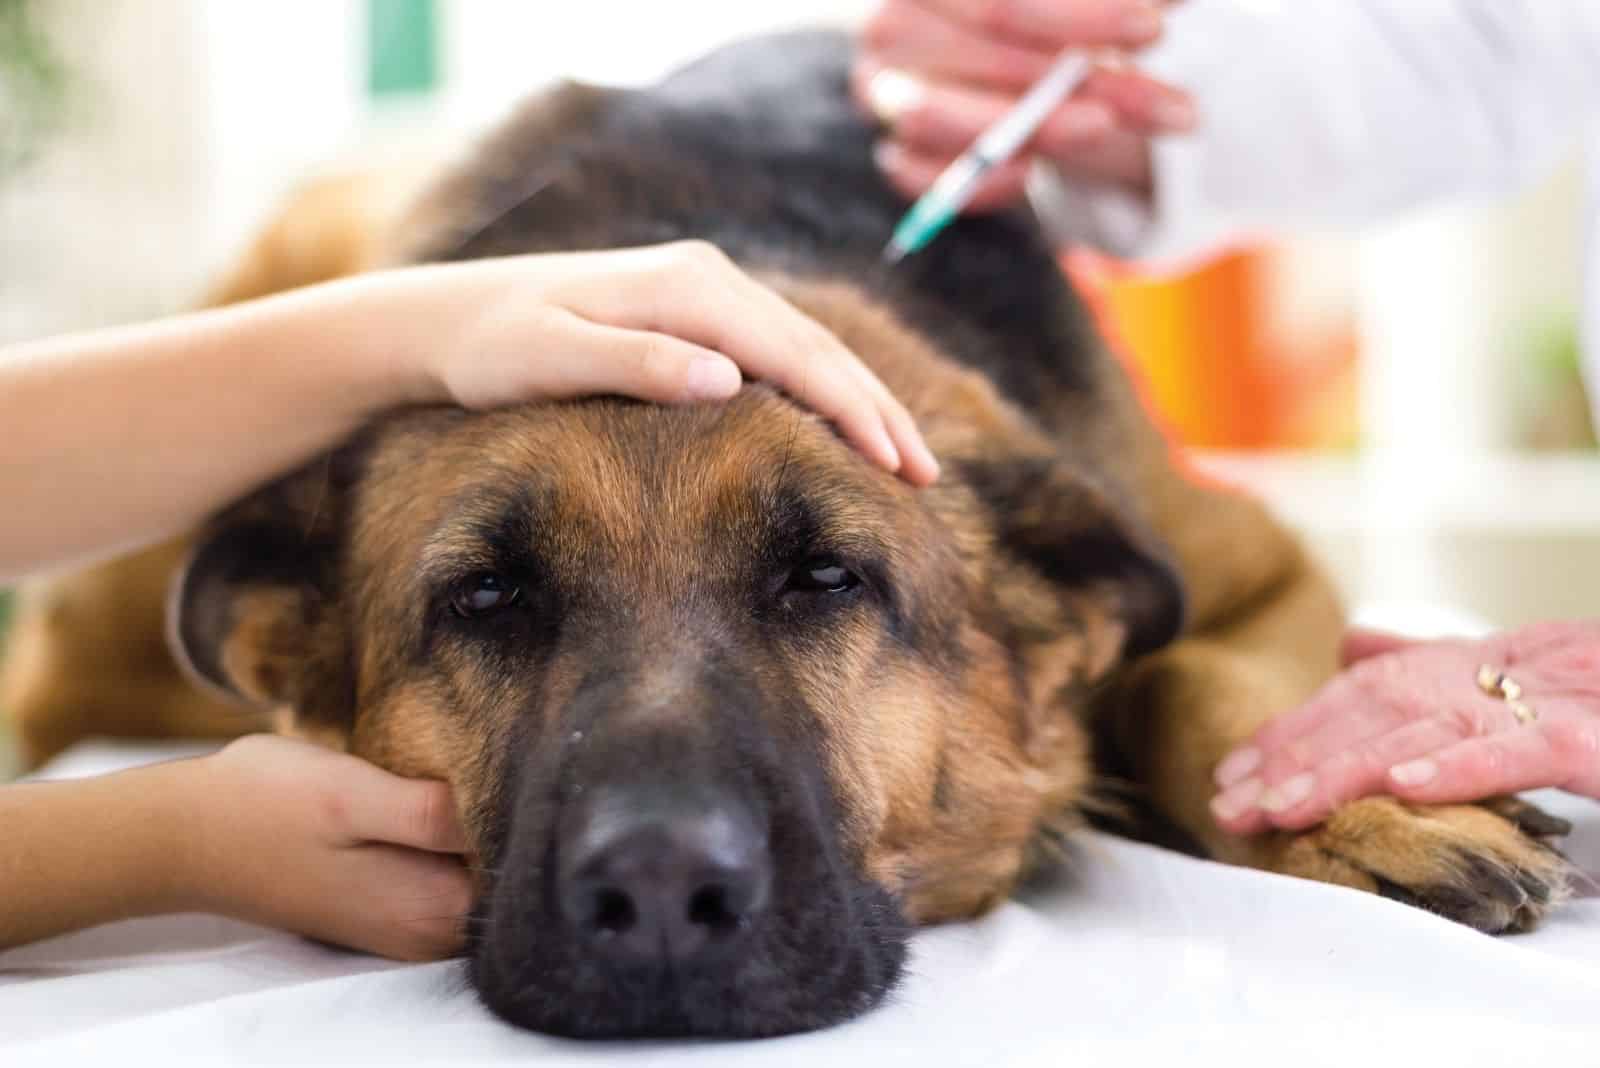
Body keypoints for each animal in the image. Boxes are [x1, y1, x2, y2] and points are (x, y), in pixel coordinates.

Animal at [0, 33, 1574, 1042]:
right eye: (487, 598)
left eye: (827, 579)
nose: (657, 893)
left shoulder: (1252, 569)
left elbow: (1199, 678)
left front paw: (1357, 809)